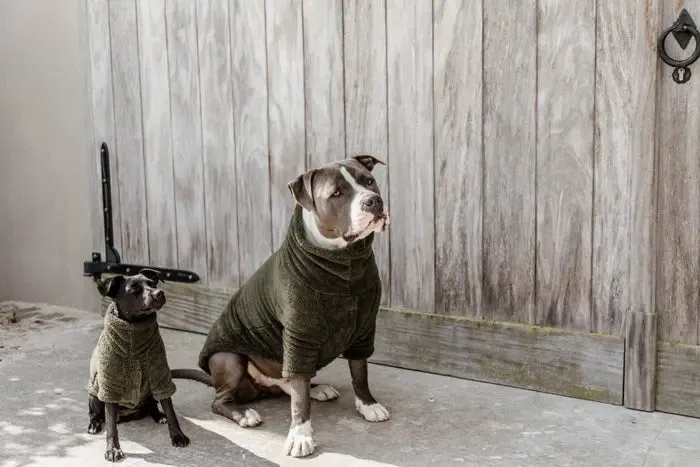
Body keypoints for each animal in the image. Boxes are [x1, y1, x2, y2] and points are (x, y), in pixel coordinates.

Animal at [86, 268, 190, 462]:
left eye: (153, 283)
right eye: (133, 290)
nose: (159, 293)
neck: (135, 330)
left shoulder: (161, 376)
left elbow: (170, 410)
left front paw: (177, 435)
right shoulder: (109, 386)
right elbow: (111, 426)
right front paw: (113, 449)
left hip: (150, 392)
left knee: (152, 406)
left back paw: (158, 415)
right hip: (94, 394)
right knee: (95, 413)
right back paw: (94, 424)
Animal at [170, 154, 388, 458]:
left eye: (369, 181)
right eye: (336, 193)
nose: (373, 201)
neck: (345, 262)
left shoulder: (364, 328)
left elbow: (360, 372)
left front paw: (368, 405)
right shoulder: (299, 335)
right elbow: (300, 402)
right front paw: (300, 435)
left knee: (292, 383)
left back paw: (315, 388)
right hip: (229, 358)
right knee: (223, 400)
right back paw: (244, 414)